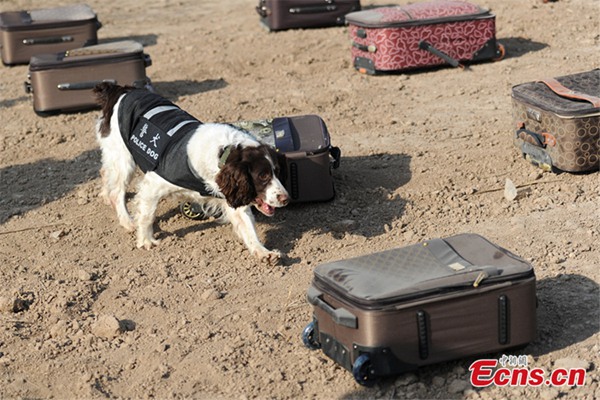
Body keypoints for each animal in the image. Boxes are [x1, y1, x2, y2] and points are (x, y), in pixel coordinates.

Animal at [92, 82, 290, 264]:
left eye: (277, 172)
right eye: (263, 176)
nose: (286, 199)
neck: (222, 153)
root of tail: (121, 89)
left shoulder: (232, 196)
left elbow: (248, 227)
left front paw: (264, 252)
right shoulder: (153, 185)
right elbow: (147, 215)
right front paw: (146, 240)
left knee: (105, 172)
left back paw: (105, 195)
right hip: (123, 157)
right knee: (117, 191)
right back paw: (127, 221)